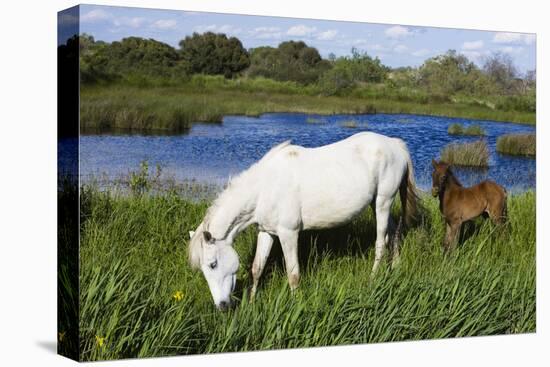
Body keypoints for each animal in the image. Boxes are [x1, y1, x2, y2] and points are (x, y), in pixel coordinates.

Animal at [190, 132, 418, 310]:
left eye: (212, 264)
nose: (221, 306)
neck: (265, 187)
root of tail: (394, 144)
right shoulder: (266, 232)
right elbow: (257, 268)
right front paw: (253, 303)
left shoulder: (288, 233)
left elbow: (293, 274)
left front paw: (295, 304)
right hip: (376, 203)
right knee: (393, 233)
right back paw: (396, 269)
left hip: (383, 202)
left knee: (380, 242)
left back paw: (372, 280)